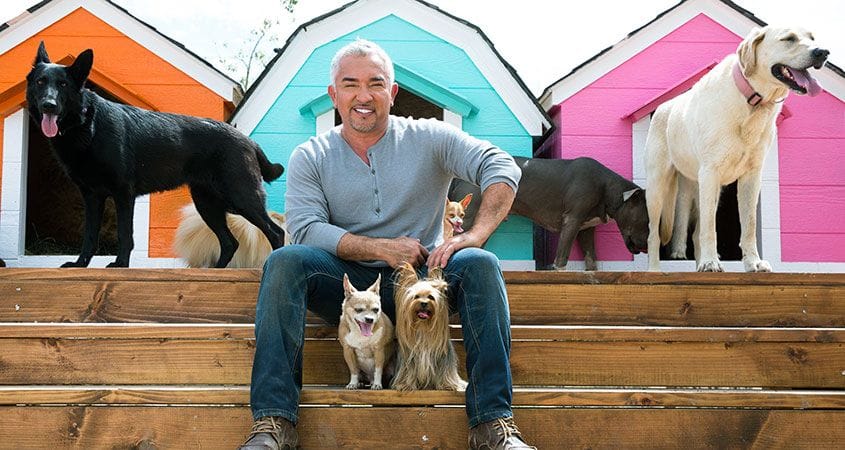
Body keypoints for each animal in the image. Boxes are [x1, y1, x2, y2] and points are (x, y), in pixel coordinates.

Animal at [452, 157, 648, 270]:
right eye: (647, 221)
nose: (647, 246)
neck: (605, 187)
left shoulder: (586, 229)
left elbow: (591, 260)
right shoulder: (572, 220)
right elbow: (561, 259)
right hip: (469, 219)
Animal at [644, 26, 828, 272]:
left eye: (812, 38)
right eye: (789, 39)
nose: (823, 52)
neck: (754, 103)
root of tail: (662, 108)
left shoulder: (751, 176)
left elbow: (748, 225)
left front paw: (753, 262)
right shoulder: (711, 172)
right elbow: (710, 229)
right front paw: (711, 262)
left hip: (702, 188)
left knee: (696, 231)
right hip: (658, 187)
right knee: (654, 234)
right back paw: (655, 269)